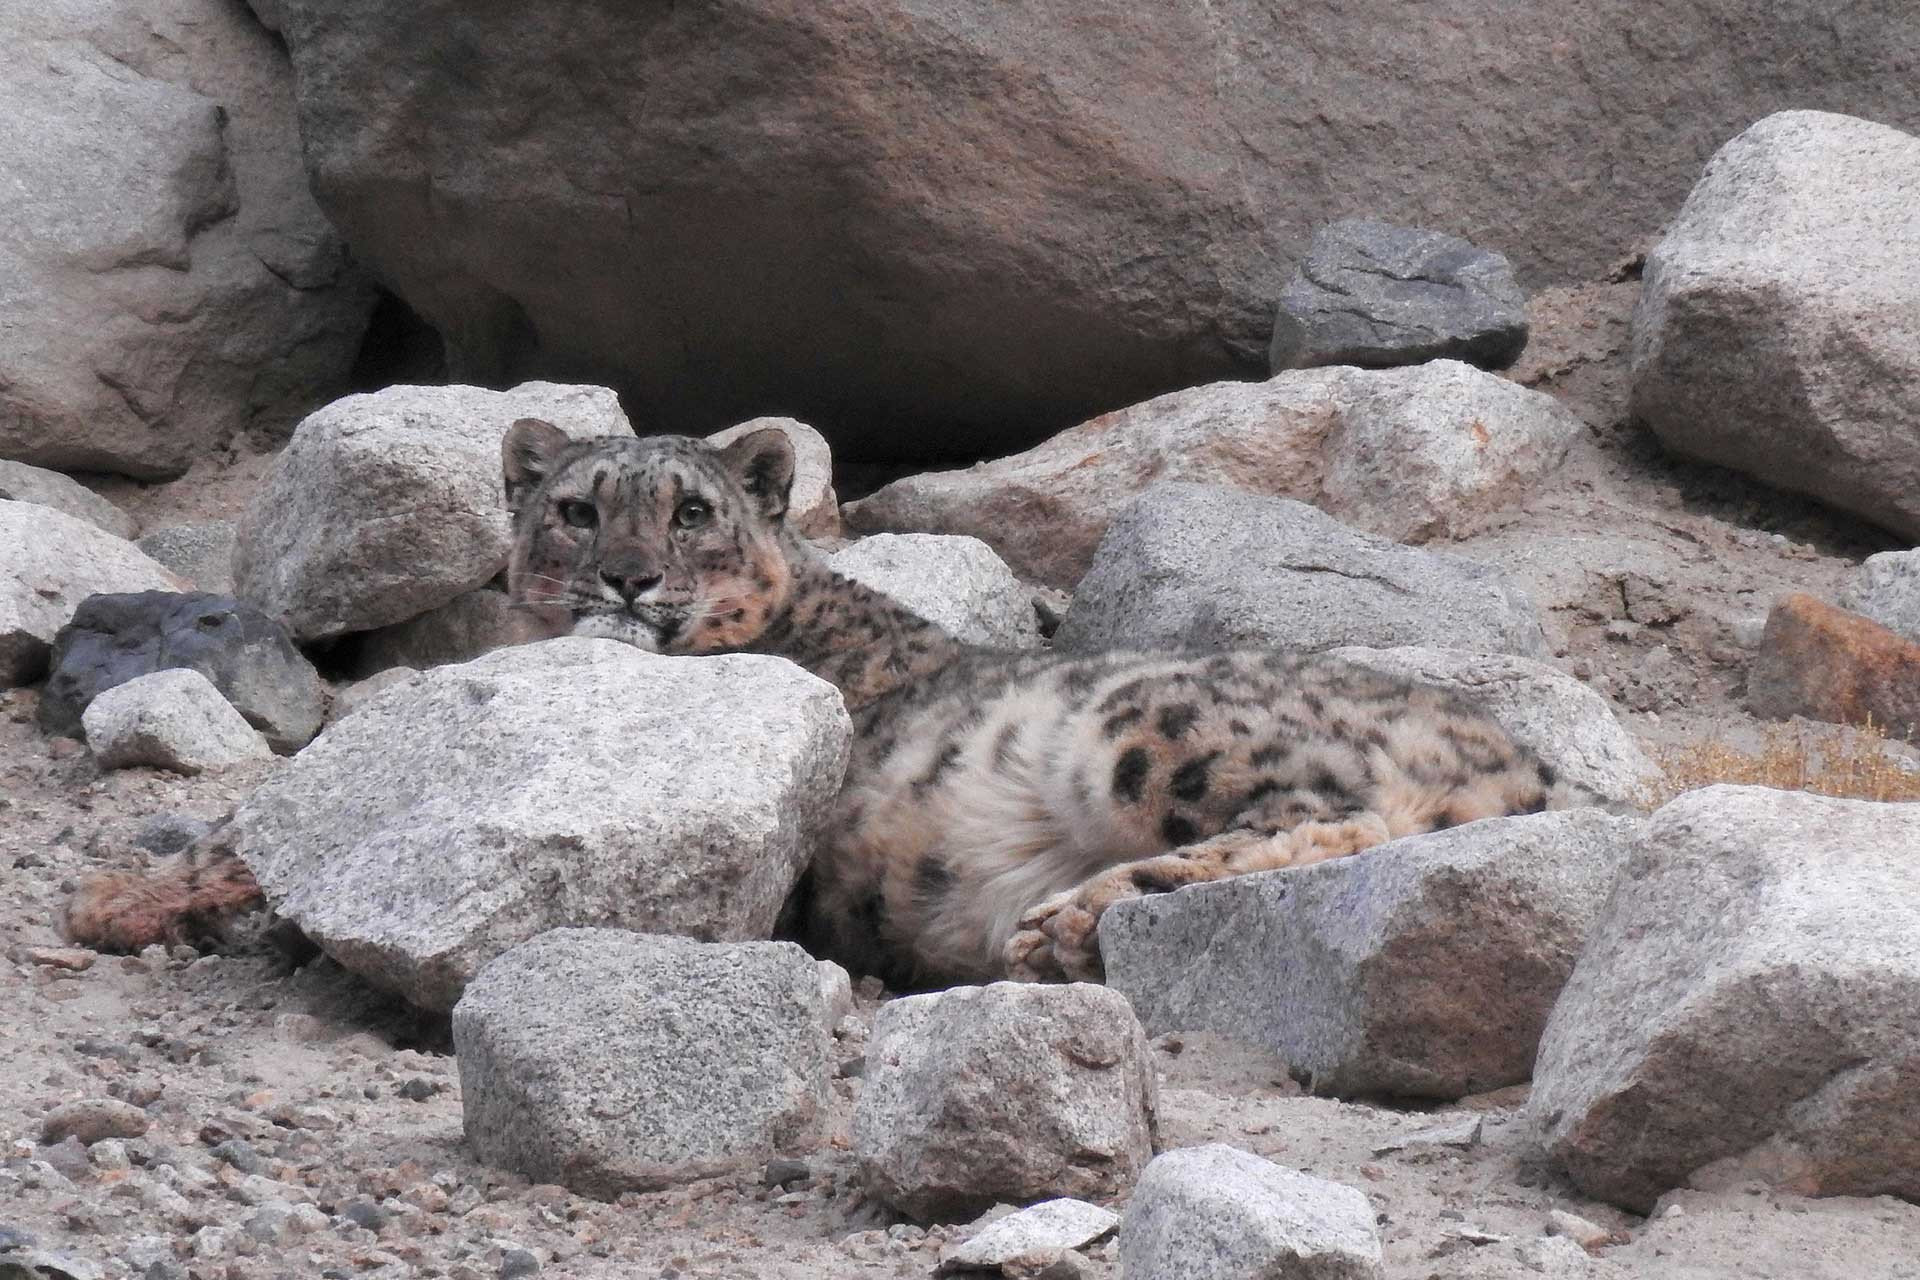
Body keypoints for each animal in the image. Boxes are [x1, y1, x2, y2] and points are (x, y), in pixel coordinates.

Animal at [65, 420, 1570, 988]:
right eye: (575, 508)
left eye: (690, 511)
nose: (627, 578)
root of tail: (1510, 749)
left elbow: (269, 838)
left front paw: (123, 894)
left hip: (1156, 730)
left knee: (1332, 815)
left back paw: (1075, 917)